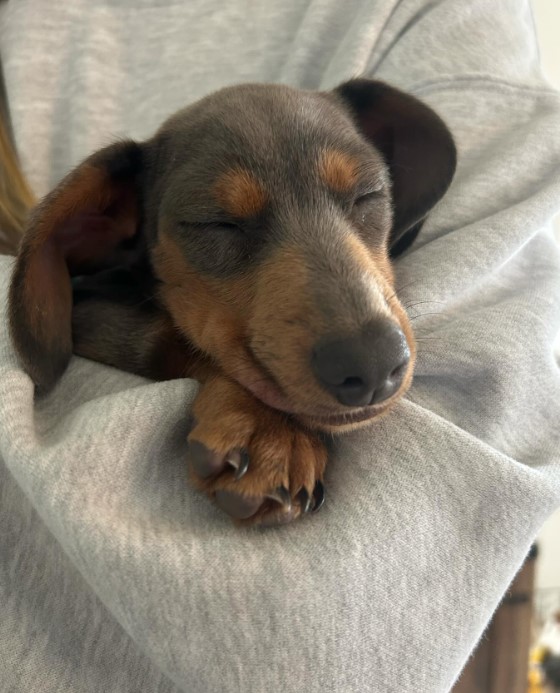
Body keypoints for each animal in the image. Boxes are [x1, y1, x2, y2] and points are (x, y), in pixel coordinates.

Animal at [7, 78, 456, 524]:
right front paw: (270, 429)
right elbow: (170, 336)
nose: (373, 363)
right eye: (215, 223)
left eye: (369, 193)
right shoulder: (91, 313)